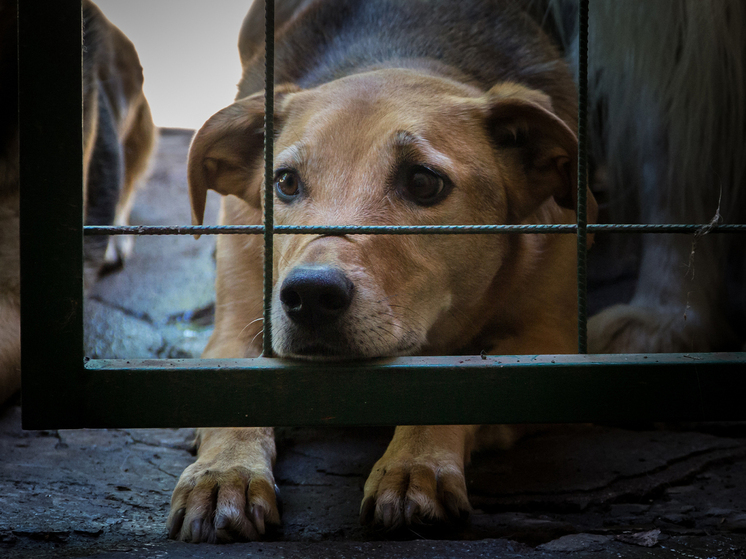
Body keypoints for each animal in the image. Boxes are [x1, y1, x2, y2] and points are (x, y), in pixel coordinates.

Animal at [170, 0, 600, 544]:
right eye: (284, 182)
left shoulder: (554, 346)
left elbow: (462, 381)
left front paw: (415, 464)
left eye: (423, 182)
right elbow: (232, 398)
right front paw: (224, 473)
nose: (310, 296)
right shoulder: (235, 328)